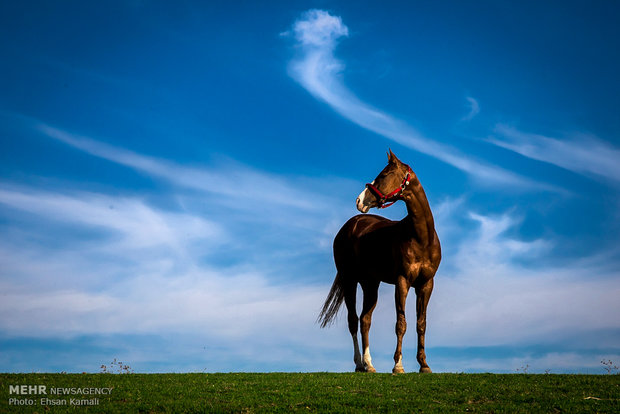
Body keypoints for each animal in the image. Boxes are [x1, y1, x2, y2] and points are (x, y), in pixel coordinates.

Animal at [320, 150, 440, 374]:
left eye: (383, 175)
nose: (359, 200)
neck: (421, 238)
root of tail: (350, 225)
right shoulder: (402, 282)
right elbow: (401, 323)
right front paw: (398, 365)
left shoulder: (426, 284)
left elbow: (421, 323)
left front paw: (424, 365)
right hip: (349, 281)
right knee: (353, 320)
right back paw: (360, 364)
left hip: (370, 284)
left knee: (365, 320)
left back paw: (369, 364)